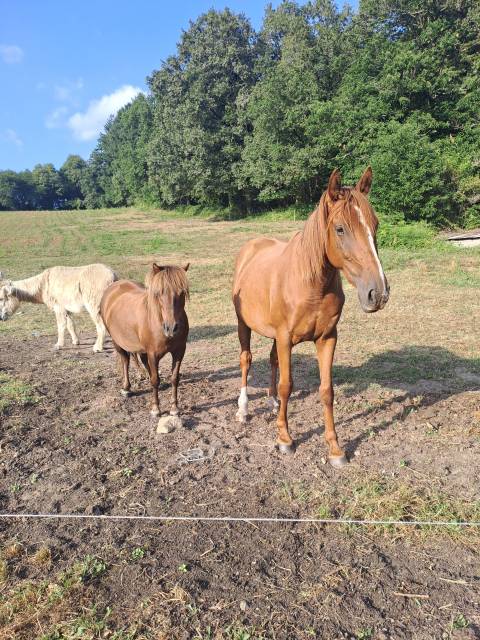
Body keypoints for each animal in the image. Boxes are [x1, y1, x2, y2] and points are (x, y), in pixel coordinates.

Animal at [100, 262, 189, 418]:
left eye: (182, 292)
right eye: (158, 293)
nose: (171, 328)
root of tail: (113, 287)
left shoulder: (179, 351)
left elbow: (174, 378)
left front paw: (174, 408)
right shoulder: (153, 353)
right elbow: (155, 380)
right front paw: (155, 409)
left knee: (143, 361)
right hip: (117, 342)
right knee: (125, 361)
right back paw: (126, 388)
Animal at [232, 168, 390, 468]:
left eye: (375, 226)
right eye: (340, 229)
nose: (378, 294)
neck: (311, 284)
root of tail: (250, 248)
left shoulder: (327, 338)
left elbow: (327, 391)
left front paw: (336, 449)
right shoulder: (285, 338)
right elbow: (287, 385)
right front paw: (285, 439)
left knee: (271, 360)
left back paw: (271, 403)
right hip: (243, 324)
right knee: (246, 360)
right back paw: (243, 409)